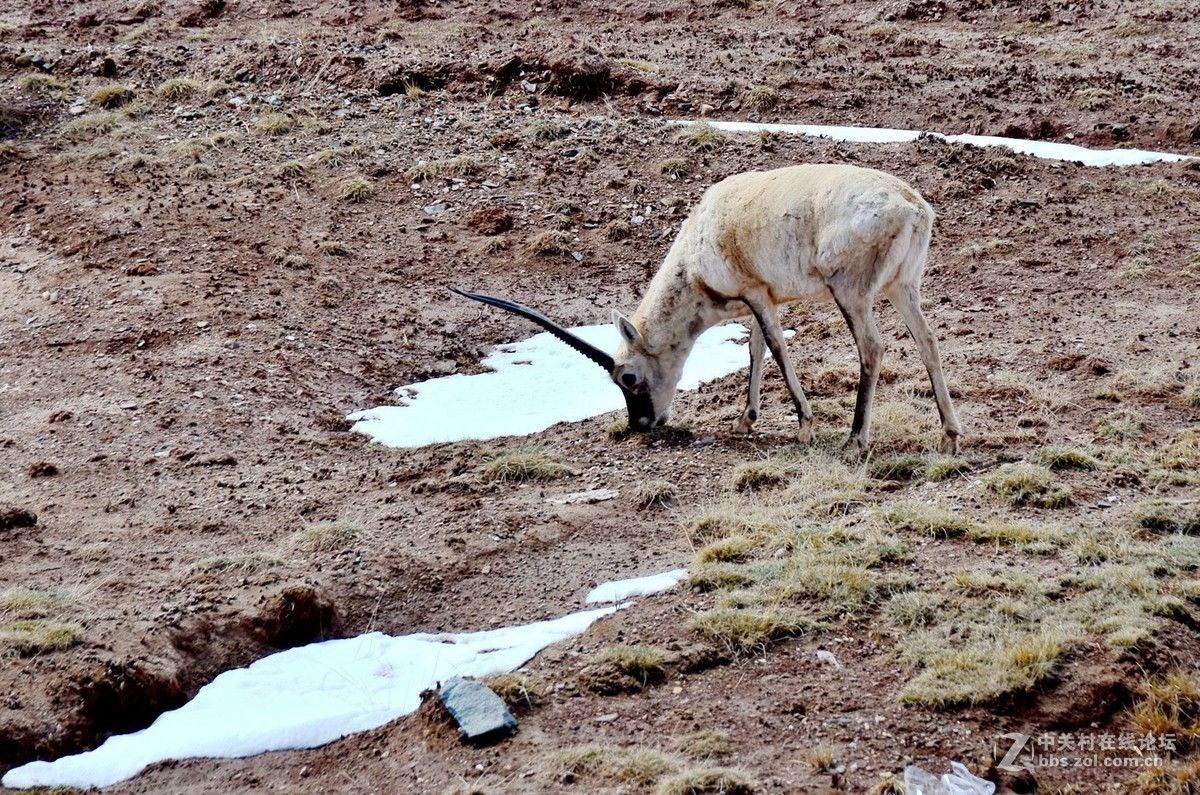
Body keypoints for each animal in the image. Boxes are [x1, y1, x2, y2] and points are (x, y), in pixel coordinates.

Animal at [453, 163, 960, 453]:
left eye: (627, 378)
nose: (641, 424)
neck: (696, 246)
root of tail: (912, 207)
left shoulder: (755, 293)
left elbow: (776, 349)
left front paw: (804, 426)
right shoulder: (761, 299)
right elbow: (755, 349)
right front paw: (746, 420)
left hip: (851, 292)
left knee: (872, 349)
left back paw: (856, 442)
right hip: (902, 287)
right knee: (929, 342)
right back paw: (950, 436)